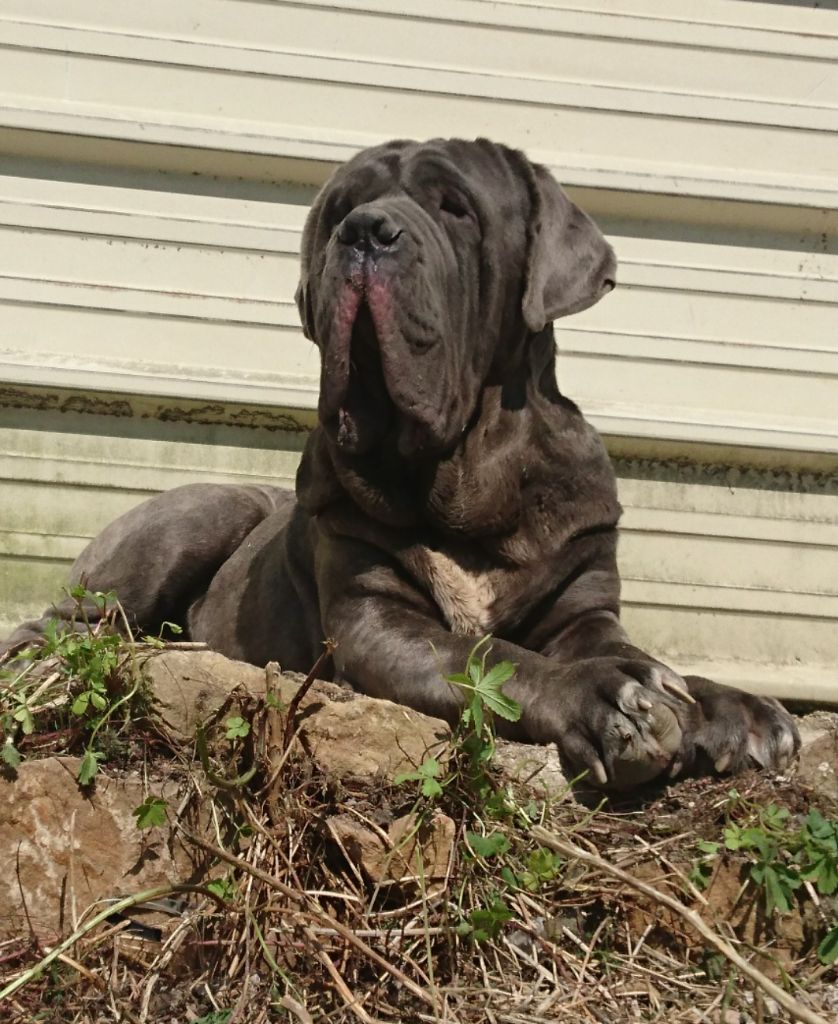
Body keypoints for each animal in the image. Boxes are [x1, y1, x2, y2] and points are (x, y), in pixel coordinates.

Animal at [2, 138, 799, 789]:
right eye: (339, 209)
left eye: (456, 208)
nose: (364, 231)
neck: (468, 475)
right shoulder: (374, 622)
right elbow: (489, 658)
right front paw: (602, 695)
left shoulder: (584, 604)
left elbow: (629, 652)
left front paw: (735, 708)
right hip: (197, 517)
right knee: (54, 625)